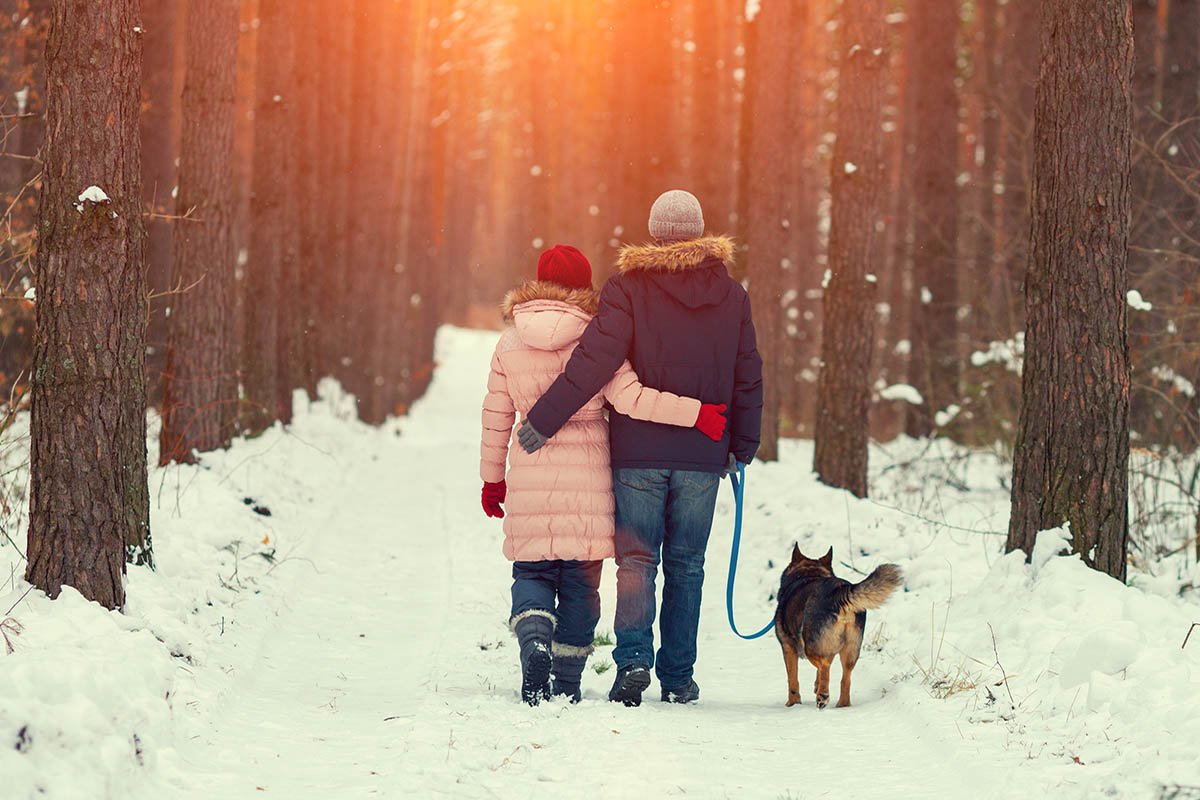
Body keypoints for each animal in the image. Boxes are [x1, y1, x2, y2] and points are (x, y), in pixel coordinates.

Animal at [777, 546, 902, 710]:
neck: (809, 573)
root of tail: (840, 592)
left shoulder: (788, 648)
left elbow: (792, 679)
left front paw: (793, 703)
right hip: (851, 650)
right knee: (845, 678)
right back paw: (841, 704)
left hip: (810, 646)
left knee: (824, 666)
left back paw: (822, 696)